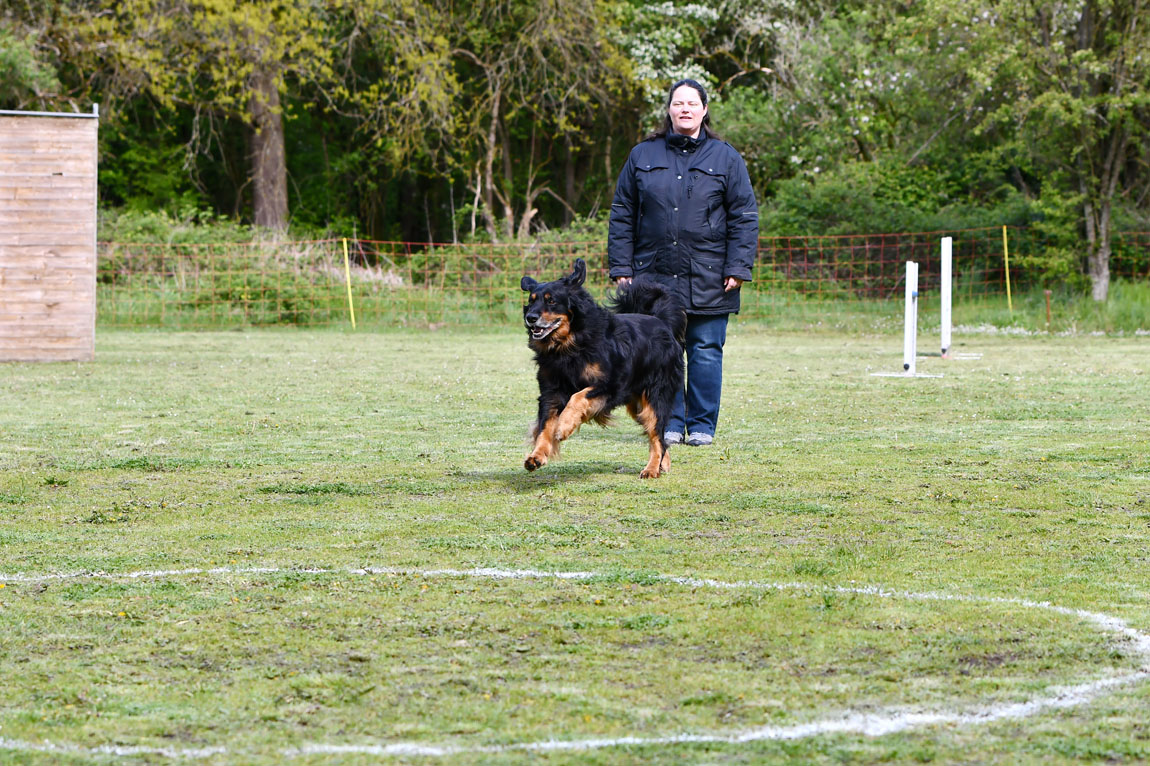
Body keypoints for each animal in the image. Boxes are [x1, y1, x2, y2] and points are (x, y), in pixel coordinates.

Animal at [524, 259, 690, 473]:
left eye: (551, 300)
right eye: (531, 300)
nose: (530, 317)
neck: (571, 344)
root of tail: (662, 322)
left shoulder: (610, 385)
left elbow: (577, 398)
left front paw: (564, 426)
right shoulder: (551, 391)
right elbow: (545, 425)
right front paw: (537, 455)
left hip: (655, 394)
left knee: (656, 432)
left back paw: (652, 469)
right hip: (638, 405)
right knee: (659, 436)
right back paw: (663, 463)